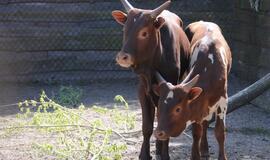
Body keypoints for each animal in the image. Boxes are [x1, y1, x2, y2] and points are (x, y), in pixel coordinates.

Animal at [154, 20, 232, 159]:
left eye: (178, 109)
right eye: (160, 105)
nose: (159, 133)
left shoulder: (223, 100)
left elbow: (220, 132)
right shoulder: (197, 104)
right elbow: (197, 132)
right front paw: (195, 155)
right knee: (204, 124)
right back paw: (204, 148)